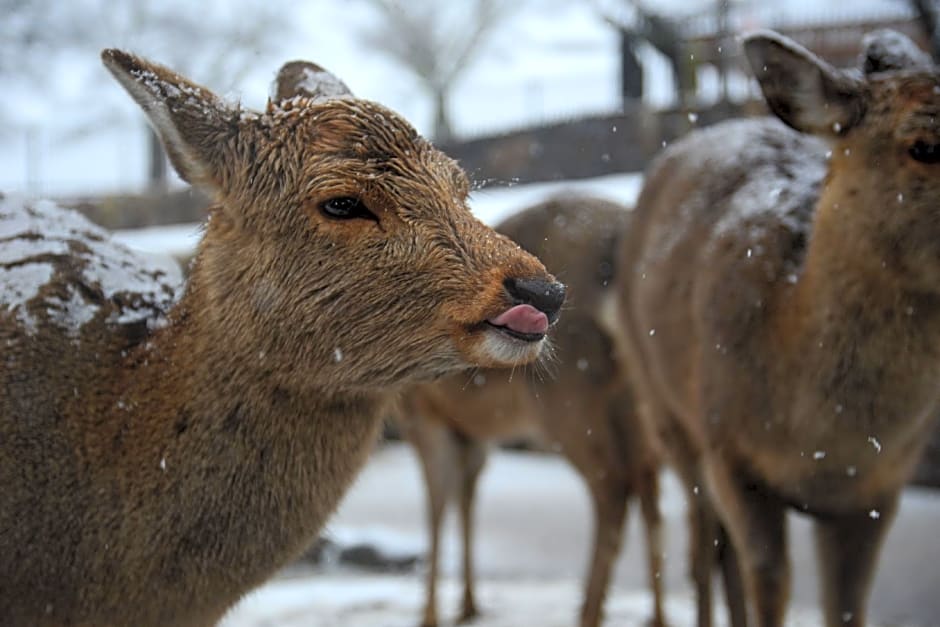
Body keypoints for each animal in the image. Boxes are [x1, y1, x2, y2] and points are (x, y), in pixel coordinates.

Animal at [398, 196, 668, 627]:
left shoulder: (422, 413)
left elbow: (436, 502)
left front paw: (430, 615)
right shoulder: (471, 429)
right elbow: (467, 496)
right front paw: (469, 604)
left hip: (569, 397)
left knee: (613, 486)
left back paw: (589, 610)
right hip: (634, 398)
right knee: (647, 482)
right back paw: (655, 615)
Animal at [608, 28, 940, 627]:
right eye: (923, 145)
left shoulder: (882, 488)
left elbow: (847, 606)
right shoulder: (732, 453)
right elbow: (768, 582)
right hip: (665, 410)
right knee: (706, 549)